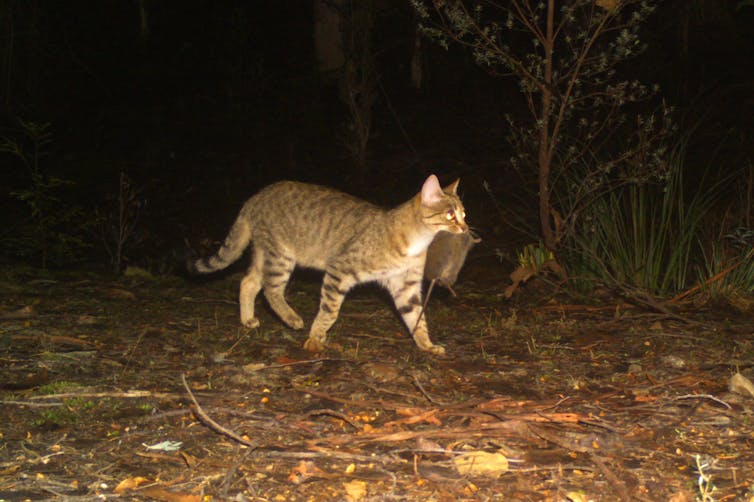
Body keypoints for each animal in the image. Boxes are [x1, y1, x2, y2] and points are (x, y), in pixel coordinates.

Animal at [188, 175, 468, 354]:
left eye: (464, 214)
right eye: (450, 215)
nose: (465, 228)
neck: (416, 242)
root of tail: (254, 197)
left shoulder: (405, 286)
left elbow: (417, 317)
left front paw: (426, 345)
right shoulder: (340, 269)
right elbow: (330, 310)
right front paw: (315, 338)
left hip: (264, 252)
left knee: (248, 282)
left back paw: (247, 319)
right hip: (280, 256)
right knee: (270, 289)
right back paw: (291, 318)